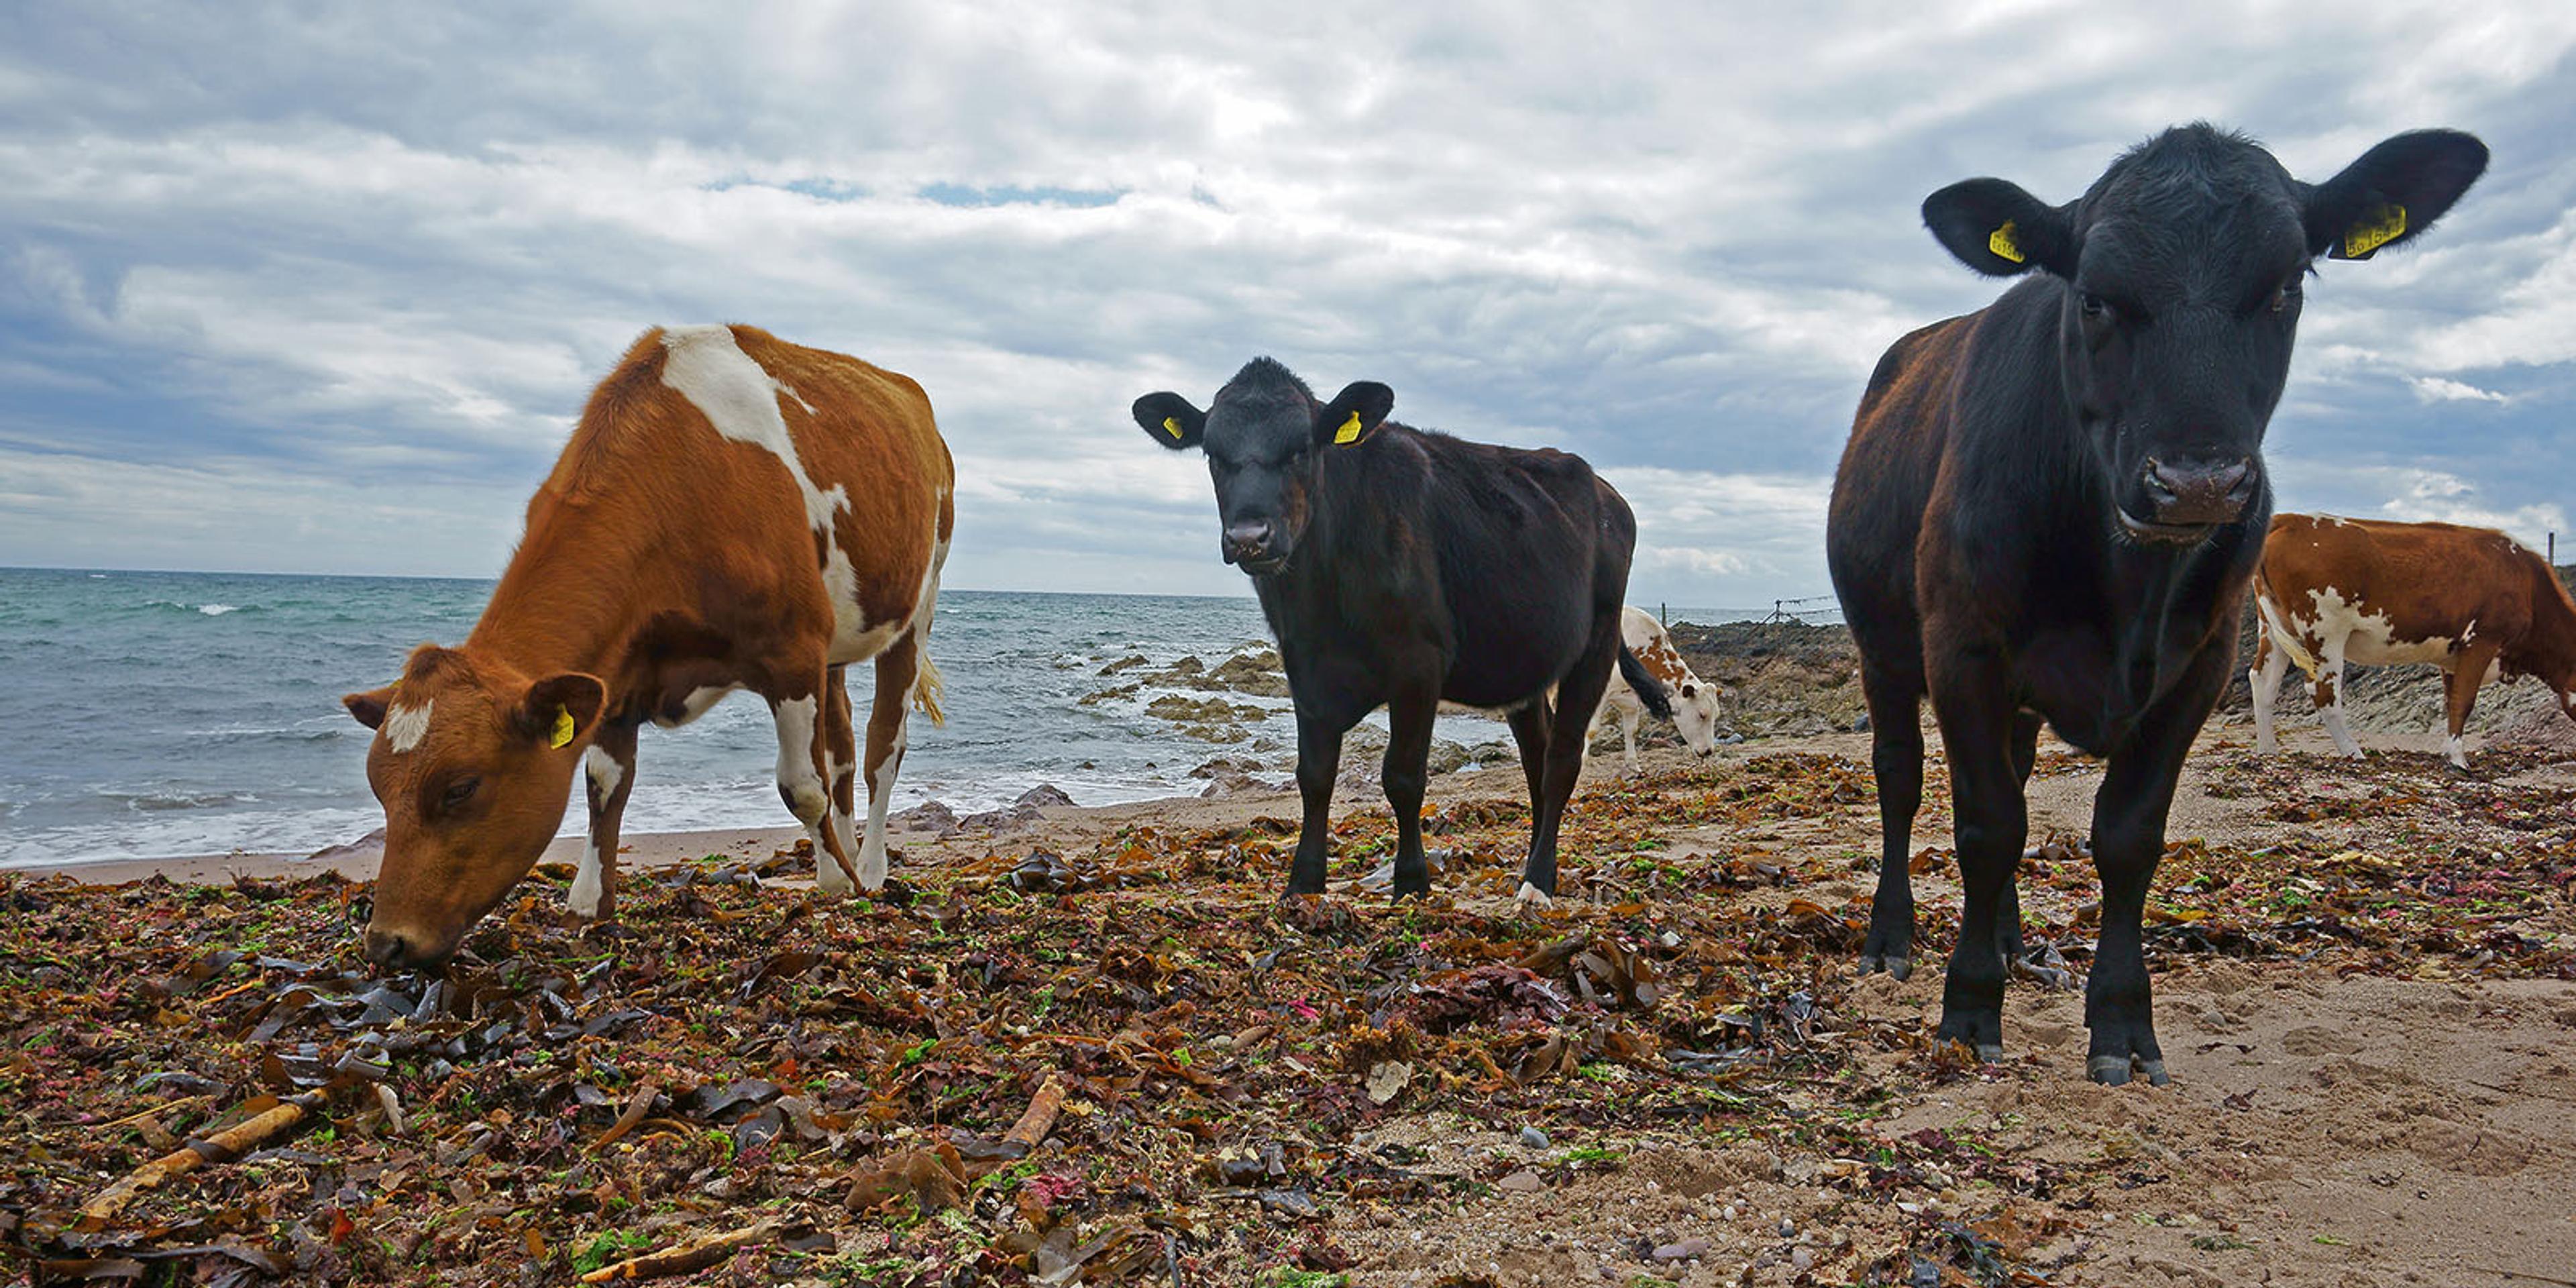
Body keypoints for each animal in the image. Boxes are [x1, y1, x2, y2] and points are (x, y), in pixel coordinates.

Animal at [343, 324, 955, 971]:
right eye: (378, 787)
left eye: (461, 788)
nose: (387, 941)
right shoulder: (616, 672)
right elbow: (603, 788)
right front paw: (589, 903)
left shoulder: (790, 649)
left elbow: (800, 787)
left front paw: (841, 883)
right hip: (835, 646)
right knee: (840, 750)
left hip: (919, 603)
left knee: (881, 749)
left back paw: (871, 867)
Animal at [1132, 357, 1646, 904]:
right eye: (1213, 452)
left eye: (1302, 448)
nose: (1249, 538)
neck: (1322, 598)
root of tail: (1609, 494)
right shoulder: (1303, 665)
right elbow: (1314, 776)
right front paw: (1303, 883)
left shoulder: (1419, 663)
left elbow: (1403, 776)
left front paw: (1412, 882)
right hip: (1524, 664)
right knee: (1536, 756)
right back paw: (1530, 866)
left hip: (1597, 642)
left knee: (1563, 759)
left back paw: (1538, 881)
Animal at [1589, 606, 1728, 775]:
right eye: (1702, 715)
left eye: (1716, 716)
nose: (1708, 751)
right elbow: (1591, 731)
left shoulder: (1630, 700)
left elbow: (1631, 730)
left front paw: (1634, 766)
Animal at [1827, 124, 2486, 1085]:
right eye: (2095, 297)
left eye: (2285, 288)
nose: (2197, 483)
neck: (2123, 583)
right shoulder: (1964, 647)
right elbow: (1987, 825)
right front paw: (1970, 1008)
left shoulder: (2199, 667)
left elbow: (2127, 836)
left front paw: (2122, 1024)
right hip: (1882, 648)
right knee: (1900, 778)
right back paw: (1893, 937)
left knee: (2015, 778)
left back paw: (2016, 939)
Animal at [2252, 514, 2576, 770]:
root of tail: (2291, 519)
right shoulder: (2482, 640)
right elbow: (2464, 701)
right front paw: (2458, 761)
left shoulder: (2452, 655)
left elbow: (2451, 701)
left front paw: (2448, 753)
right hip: (2325, 629)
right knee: (2323, 691)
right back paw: (2354, 753)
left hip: (2272, 627)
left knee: (2263, 681)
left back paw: (2268, 751)